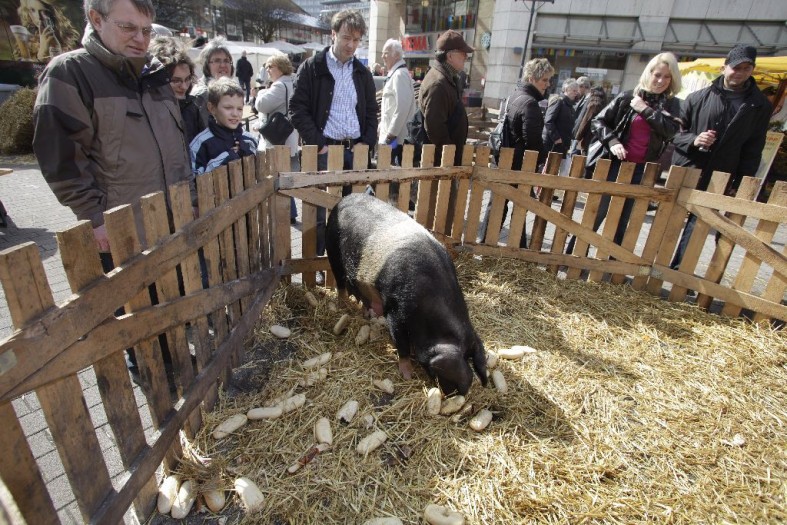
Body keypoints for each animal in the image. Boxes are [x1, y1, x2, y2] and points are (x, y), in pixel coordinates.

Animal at [325, 193, 487, 395]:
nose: (454, 393)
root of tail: (343, 199)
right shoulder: (396, 311)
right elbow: (400, 343)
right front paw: (407, 375)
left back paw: (367, 314)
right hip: (332, 249)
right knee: (340, 282)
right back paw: (343, 305)